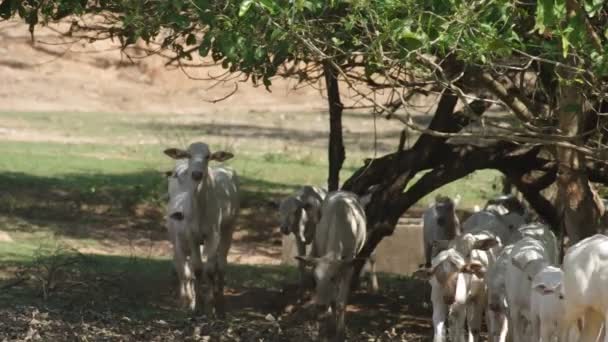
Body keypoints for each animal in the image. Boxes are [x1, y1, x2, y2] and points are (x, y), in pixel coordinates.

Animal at [164, 142, 240, 318]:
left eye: (207, 156)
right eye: (189, 154)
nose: (197, 174)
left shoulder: (213, 234)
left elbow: (210, 270)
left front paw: (210, 307)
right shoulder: (191, 235)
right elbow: (197, 269)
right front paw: (197, 306)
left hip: (229, 227)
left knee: (222, 264)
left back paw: (220, 303)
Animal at [294, 191, 366, 340]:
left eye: (333, 278)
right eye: (315, 279)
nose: (321, 306)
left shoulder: (348, 266)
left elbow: (341, 301)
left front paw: (341, 332)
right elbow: (333, 300)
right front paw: (330, 327)